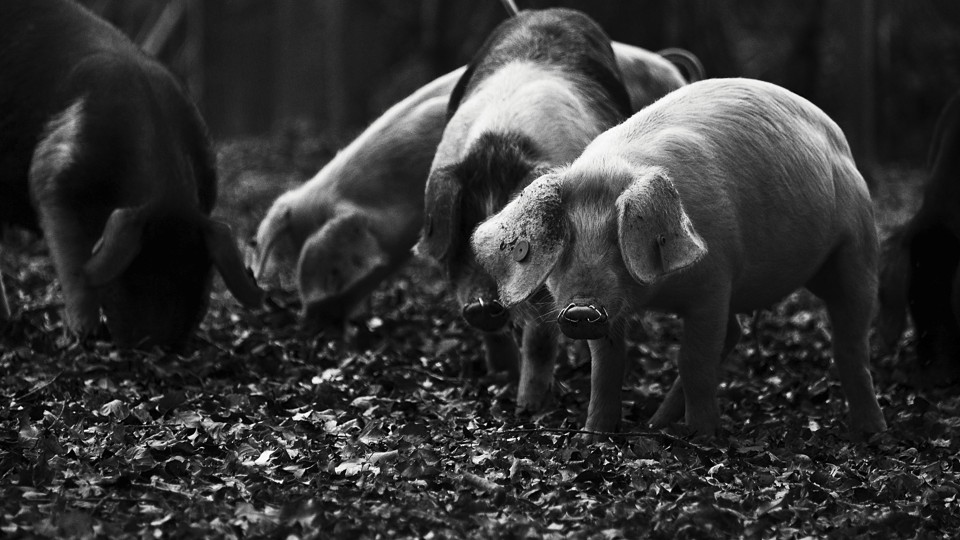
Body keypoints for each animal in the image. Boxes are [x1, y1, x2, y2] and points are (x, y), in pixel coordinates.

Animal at [0, 0, 263, 348]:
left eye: (194, 272)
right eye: (136, 269)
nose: (156, 344)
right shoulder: (52, 181)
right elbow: (76, 269)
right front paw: (85, 336)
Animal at [415, 7, 640, 401]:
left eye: (518, 244)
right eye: (464, 226)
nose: (482, 304)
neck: (499, 146)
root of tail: (546, 11)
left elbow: (540, 339)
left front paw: (529, 406)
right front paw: (500, 377)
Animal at [472, 77, 888, 436]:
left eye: (617, 240)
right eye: (567, 241)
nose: (582, 310)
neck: (659, 294)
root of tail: (840, 139)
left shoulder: (714, 284)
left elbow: (693, 361)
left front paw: (704, 437)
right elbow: (607, 368)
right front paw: (594, 435)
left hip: (858, 248)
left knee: (851, 342)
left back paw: (872, 432)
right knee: (737, 333)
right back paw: (657, 423)